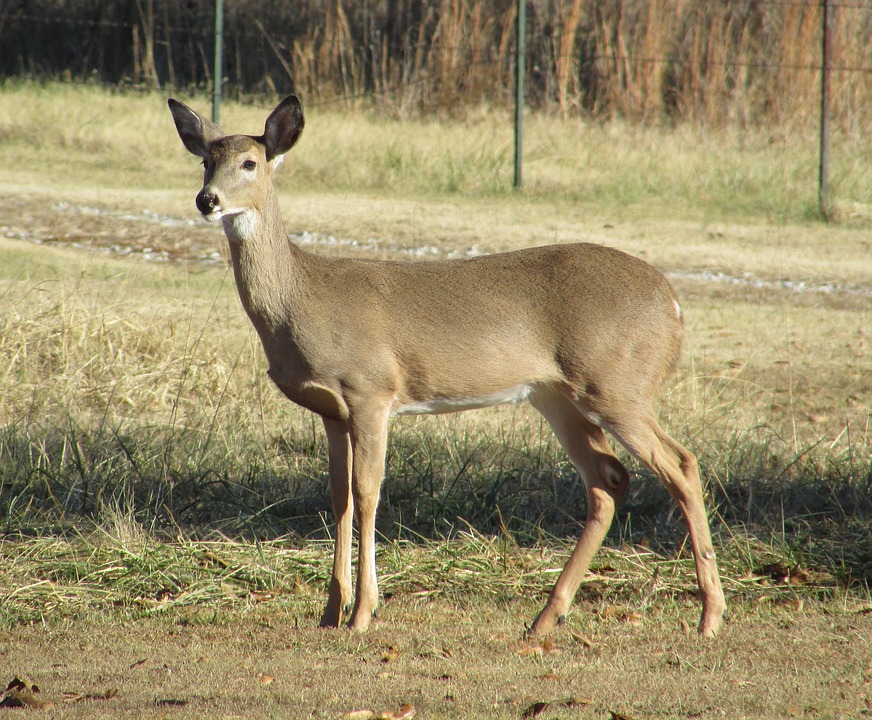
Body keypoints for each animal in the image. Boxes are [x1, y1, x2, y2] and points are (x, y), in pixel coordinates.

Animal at [168, 95, 726, 638]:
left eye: (250, 162)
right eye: (205, 160)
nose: (207, 200)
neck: (302, 300)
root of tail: (674, 304)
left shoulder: (371, 389)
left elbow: (367, 492)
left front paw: (363, 613)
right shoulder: (331, 410)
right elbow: (338, 497)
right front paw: (330, 613)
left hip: (616, 382)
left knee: (681, 465)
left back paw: (710, 616)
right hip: (558, 395)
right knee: (608, 480)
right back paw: (546, 618)